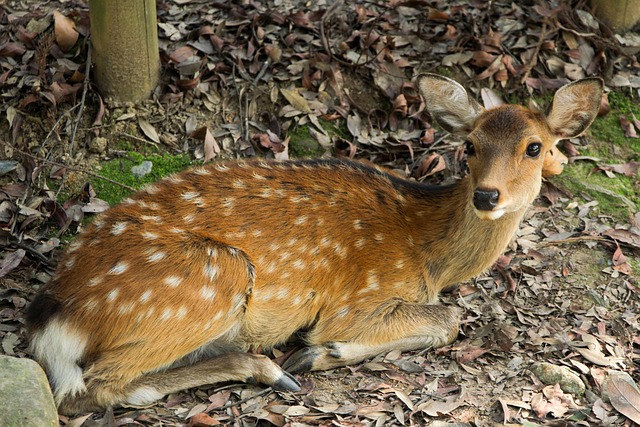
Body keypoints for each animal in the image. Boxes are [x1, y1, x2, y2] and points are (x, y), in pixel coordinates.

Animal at [27, 74, 603, 414]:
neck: (429, 254)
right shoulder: (359, 298)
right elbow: (448, 320)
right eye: (471, 145)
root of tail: (52, 317)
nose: (487, 194)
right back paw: (276, 370)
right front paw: (321, 352)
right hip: (210, 279)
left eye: (535, 147)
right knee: (92, 386)